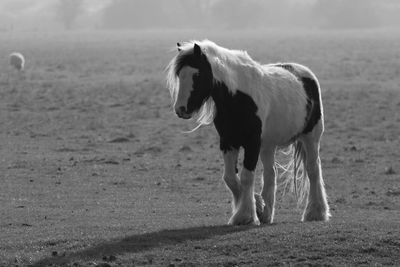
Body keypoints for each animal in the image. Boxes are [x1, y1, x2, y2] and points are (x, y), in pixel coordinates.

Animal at [164, 39, 330, 226]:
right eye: (179, 75)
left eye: (197, 75)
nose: (181, 109)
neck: (237, 97)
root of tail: (305, 74)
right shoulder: (228, 142)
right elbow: (230, 177)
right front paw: (257, 205)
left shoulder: (252, 143)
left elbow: (246, 176)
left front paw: (245, 215)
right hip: (268, 145)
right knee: (271, 173)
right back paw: (267, 213)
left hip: (311, 138)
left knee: (313, 169)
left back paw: (316, 212)